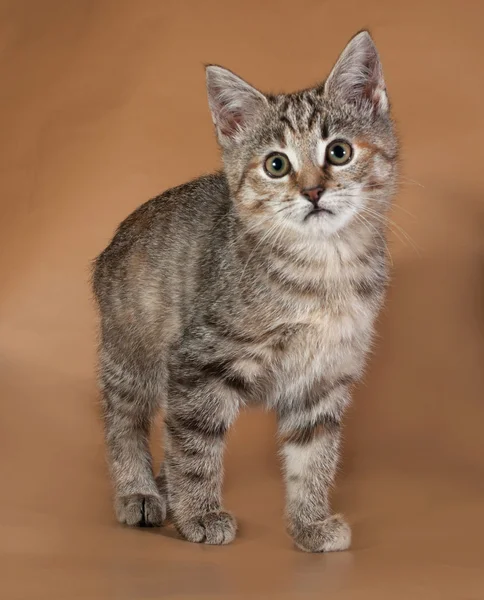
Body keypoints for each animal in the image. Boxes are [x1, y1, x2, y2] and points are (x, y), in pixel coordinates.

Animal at [91, 30, 398, 552]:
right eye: (276, 165)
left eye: (339, 152)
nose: (313, 191)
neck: (323, 268)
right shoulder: (199, 361)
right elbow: (195, 447)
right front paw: (199, 515)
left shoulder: (323, 376)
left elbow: (313, 457)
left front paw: (310, 524)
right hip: (132, 352)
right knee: (126, 421)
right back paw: (140, 493)